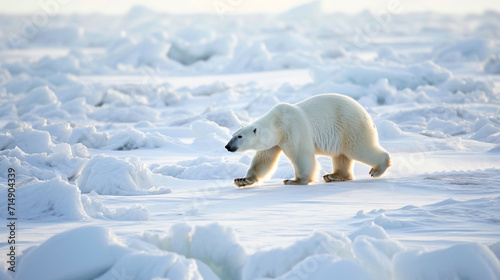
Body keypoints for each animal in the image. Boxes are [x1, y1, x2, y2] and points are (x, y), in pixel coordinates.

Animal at [225, 93, 392, 187]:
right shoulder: (274, 142)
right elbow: (264, 160)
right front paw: (242, 180)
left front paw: (294, 181)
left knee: (359, 148)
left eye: (239, 136)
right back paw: (333, 176)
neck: (278, 122)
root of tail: (366, 114)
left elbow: (301, 155)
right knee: (341, 155)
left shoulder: (294, 129)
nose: (227, 146)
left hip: (350, 125)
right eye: (232, 135)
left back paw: (377, 169)